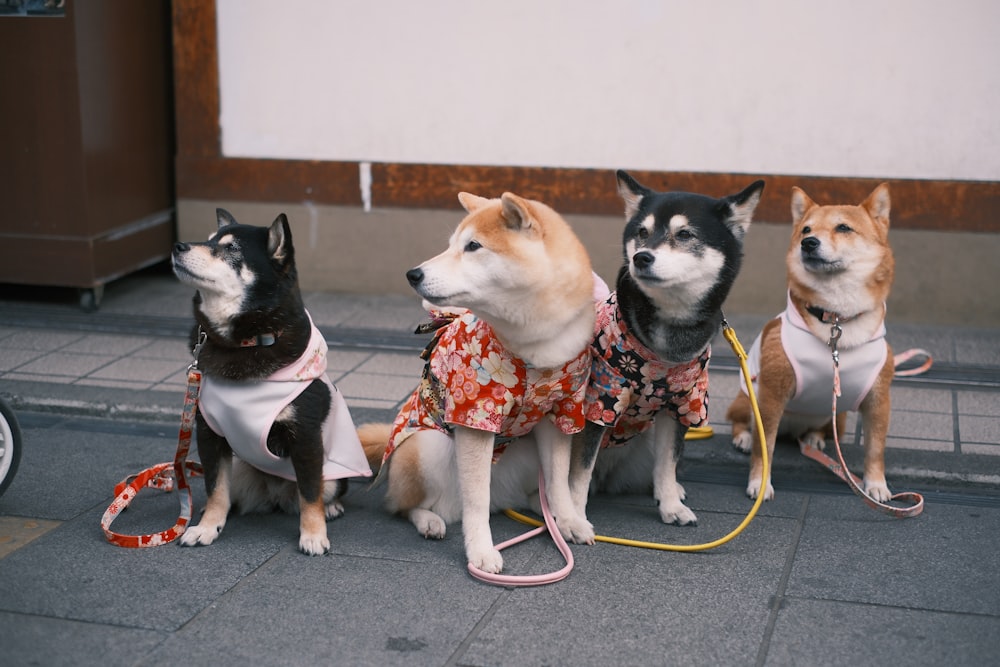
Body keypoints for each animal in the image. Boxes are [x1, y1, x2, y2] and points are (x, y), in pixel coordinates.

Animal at [172, 211, 372, 556]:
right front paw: (208, 527)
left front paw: (313, 535)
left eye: (231, 248)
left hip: (331, 471)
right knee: (229, 493)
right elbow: (215, 488)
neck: (247, 343)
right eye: (209, 239)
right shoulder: (209, 433)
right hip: (241, 465)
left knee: (322, 491)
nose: (177, 246)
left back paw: (331, 508)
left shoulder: (305, 437)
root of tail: (275, 495)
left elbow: (310, 493)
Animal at [358, 192, 592, 576]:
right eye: (452, 244)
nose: (413, 274)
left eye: (473, 246)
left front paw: (570, 520)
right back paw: (429, 521)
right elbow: (477, 499)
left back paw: (542, 510)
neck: (532, 346)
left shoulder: (560, 412)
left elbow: (559, 482)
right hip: (428, 447)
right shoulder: (475, 416)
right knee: (403, 506)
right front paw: (481, 551)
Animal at [572, 171, 764, 528]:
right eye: (642, 233)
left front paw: (671, 506)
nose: (641, 257)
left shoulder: (684, 405)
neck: (665, 354)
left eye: (685, 234)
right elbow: (578, 472)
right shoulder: (601, 401)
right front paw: (573, 520)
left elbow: (667, 462)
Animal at [724, 183, 896, 500]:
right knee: (741, 421)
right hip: (749, 397)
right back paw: (743, 437)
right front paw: (759, 482)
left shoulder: (879, 398)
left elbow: (875, 449)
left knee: (822, 430)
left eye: (843, 227)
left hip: (838, 418)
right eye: (805, 230)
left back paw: (814, 438)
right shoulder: (772, 395)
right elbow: (764, 447)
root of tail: (792, 430)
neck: (836, 321)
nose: (809, 243)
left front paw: (876, 484)